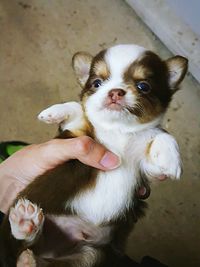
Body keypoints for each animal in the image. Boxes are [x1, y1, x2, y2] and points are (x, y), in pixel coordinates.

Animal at [0, 45, 188, 266]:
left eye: (143, 86)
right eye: (97, 83)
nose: (115, 92)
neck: (118, 131)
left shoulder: (146, 168)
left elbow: (162, 135)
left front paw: (170, 159)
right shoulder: (77, 133)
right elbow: (78, 108)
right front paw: (52, 112)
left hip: (90, 254)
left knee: (37, 258)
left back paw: (28, 248)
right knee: (22, 243)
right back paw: (24, 222)